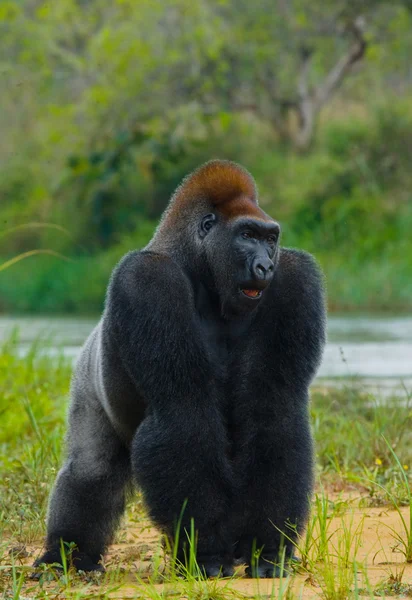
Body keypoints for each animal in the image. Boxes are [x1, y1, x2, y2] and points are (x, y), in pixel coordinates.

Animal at [34, 158, 326, 576]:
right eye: (247, 235)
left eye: (270, 239)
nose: (265, 266)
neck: (201, 268)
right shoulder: (147, 279)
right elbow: (183, 412)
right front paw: (206, 550)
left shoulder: (296, 276)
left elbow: (275, 410)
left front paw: (266, 547)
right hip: (87, 374)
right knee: (91, 468)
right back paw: (67, 555)